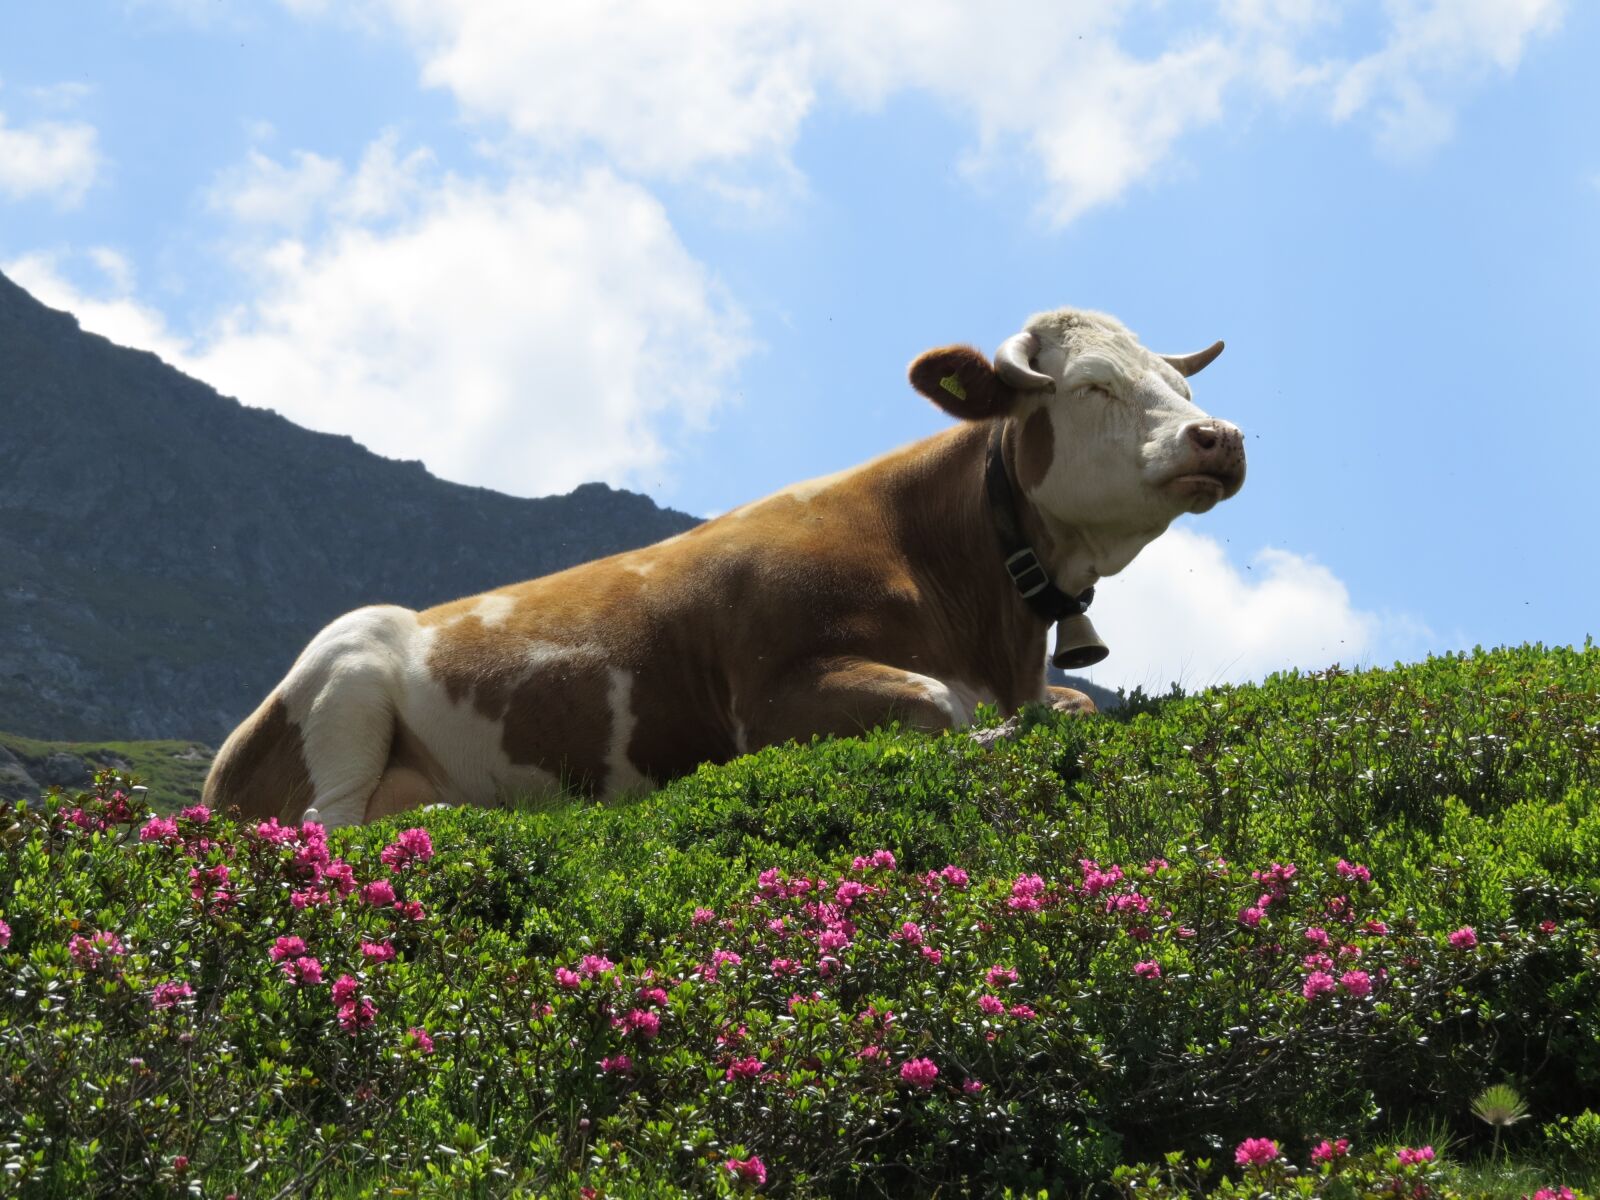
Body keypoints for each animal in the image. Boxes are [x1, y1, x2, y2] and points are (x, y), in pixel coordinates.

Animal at [203, 307, 1244, 828]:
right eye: (1093, 385)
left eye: (1180, 383)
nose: (1220, 437)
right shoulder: (772, 700)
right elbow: (940, 707)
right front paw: (986, 734)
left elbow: (1069, 710)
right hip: (346, 670)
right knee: (330, 823)